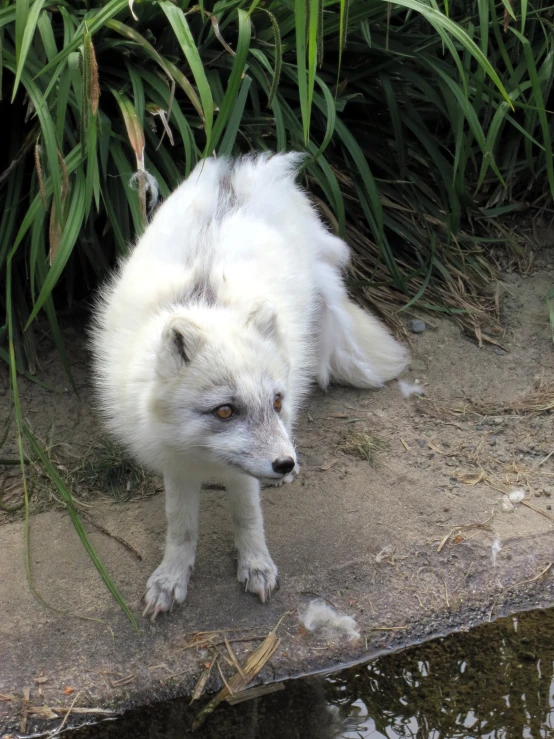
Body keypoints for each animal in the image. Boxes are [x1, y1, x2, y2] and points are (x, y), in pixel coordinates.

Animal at [90, 155, 408, 620]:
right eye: (225, 410)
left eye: (275, 402)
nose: (284, 464)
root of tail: (251, 167)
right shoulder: (174, 461)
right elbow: (180, 527)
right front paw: (171, 578)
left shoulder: (244, 471)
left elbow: (247, 516)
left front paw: (256, 565)